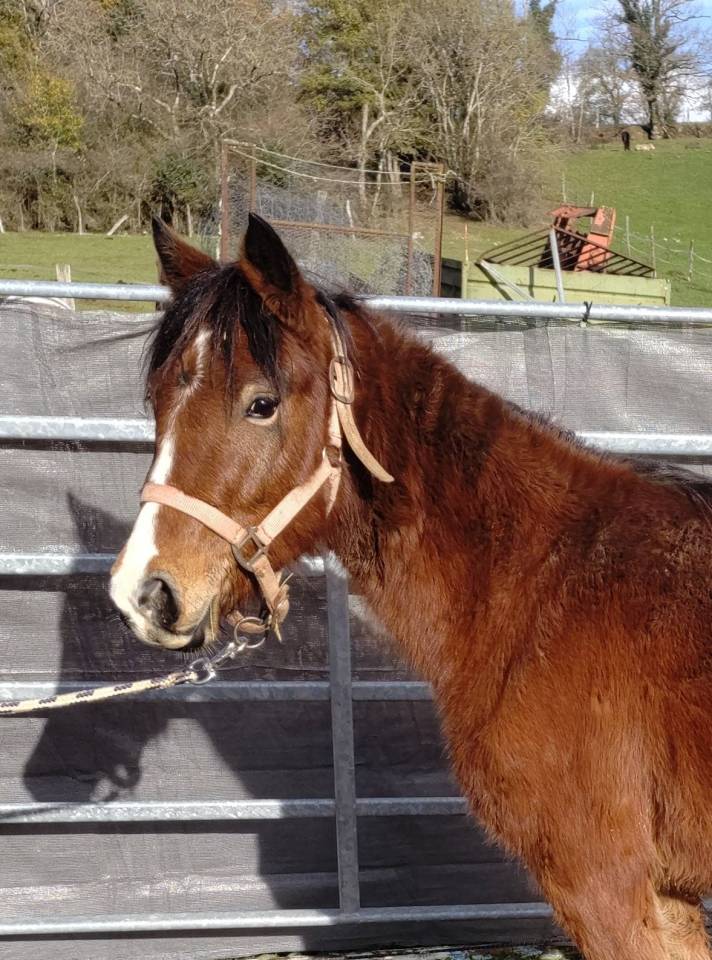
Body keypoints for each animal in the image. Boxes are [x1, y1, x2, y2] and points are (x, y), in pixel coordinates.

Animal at [110, 212, 712, 960]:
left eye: (261, 404)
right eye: (158, 401)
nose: (144, 594)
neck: (546, 583)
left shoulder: (606, 888)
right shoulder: (669, 896)